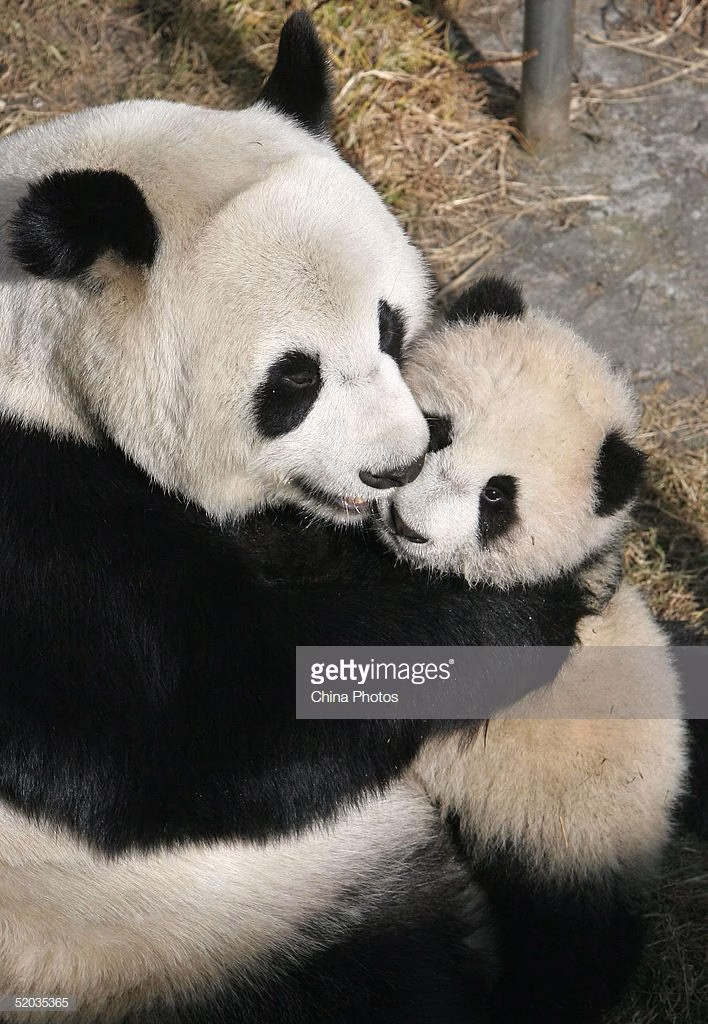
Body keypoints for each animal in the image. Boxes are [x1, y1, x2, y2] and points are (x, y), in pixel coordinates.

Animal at [0, 16, 595, 1024]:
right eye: (293, 380)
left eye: (391, 327)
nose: (397, 466)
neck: (37, 348)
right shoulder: (33, 534)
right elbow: (211, 723)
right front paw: (531, 598)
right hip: (158, 937)